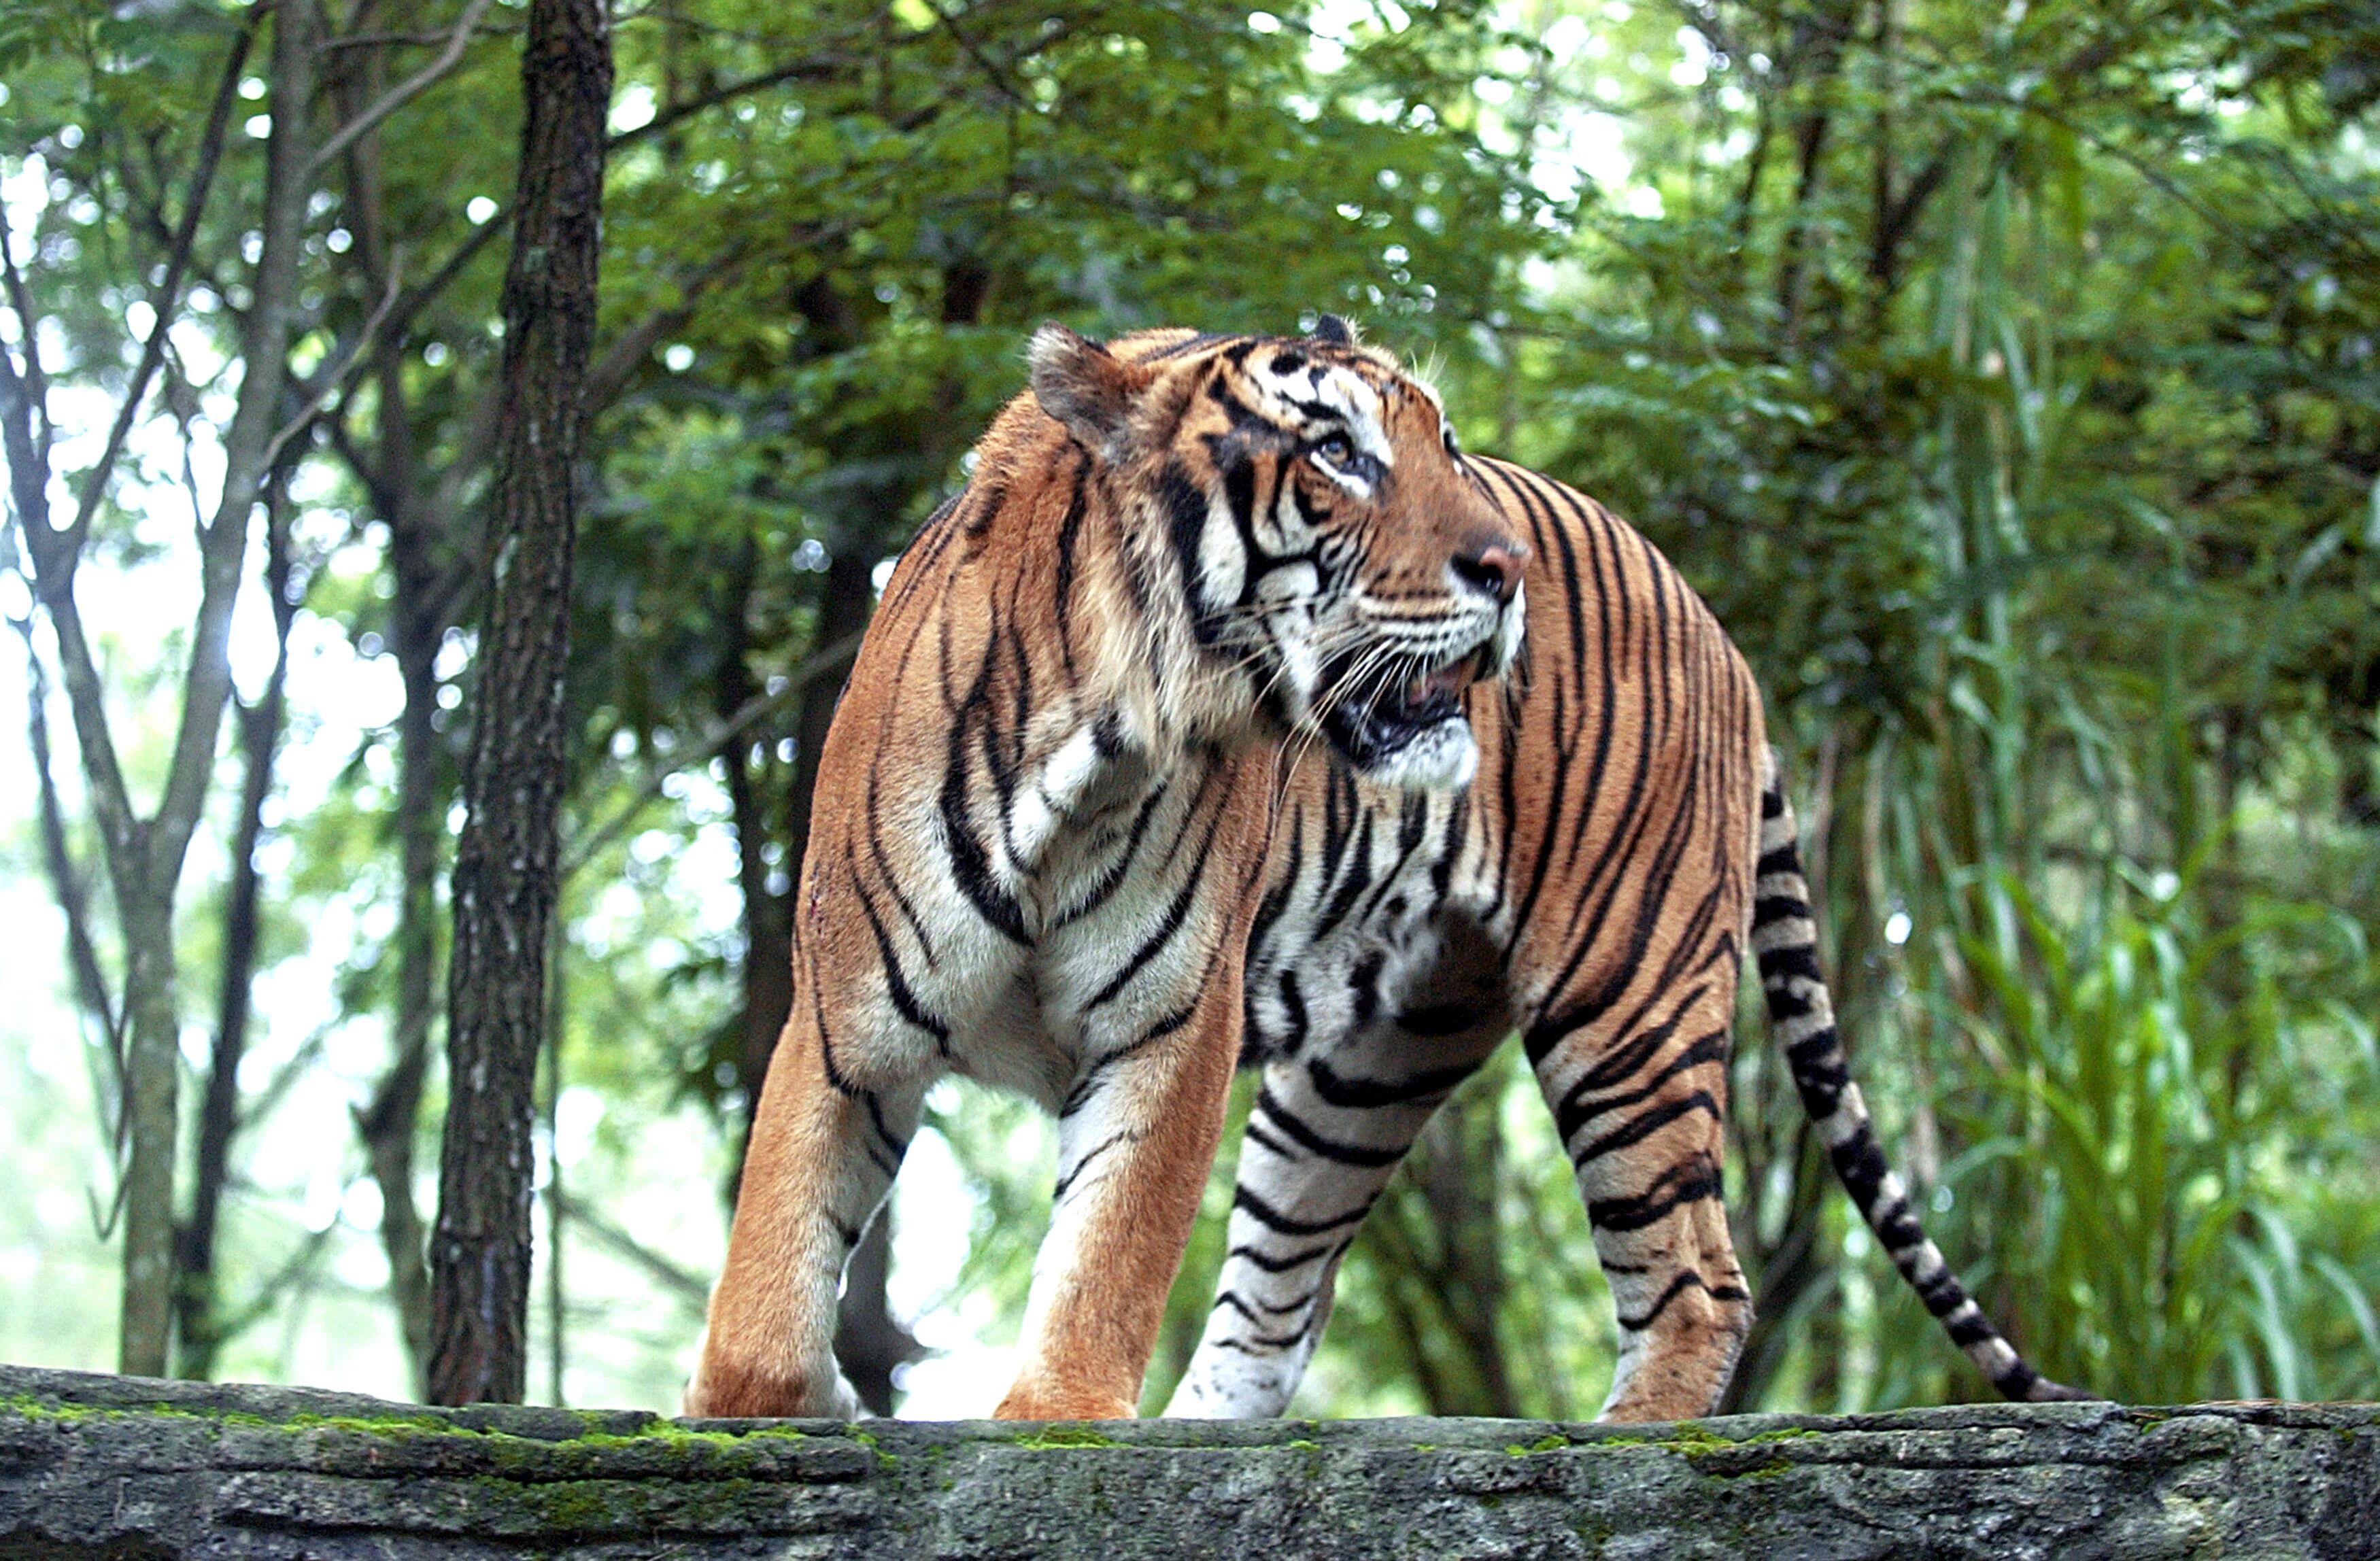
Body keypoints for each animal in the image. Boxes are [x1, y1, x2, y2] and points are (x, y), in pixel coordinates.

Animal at [685, 315, 2085, 1424]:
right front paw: (783, 1401)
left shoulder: (1169, 1032)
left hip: (1627, 1003)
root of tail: (1714, 618)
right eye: (1337, 452)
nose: (1507, 570)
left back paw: (1638, 1449)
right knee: (1270, 1317)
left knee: (1698, 1279)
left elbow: (1104, 1266)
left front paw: (1058, 1423)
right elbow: (770, 1285)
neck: (1097, 743)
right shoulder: (845, 1021)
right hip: (1359, 1077)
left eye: (1442, 445)